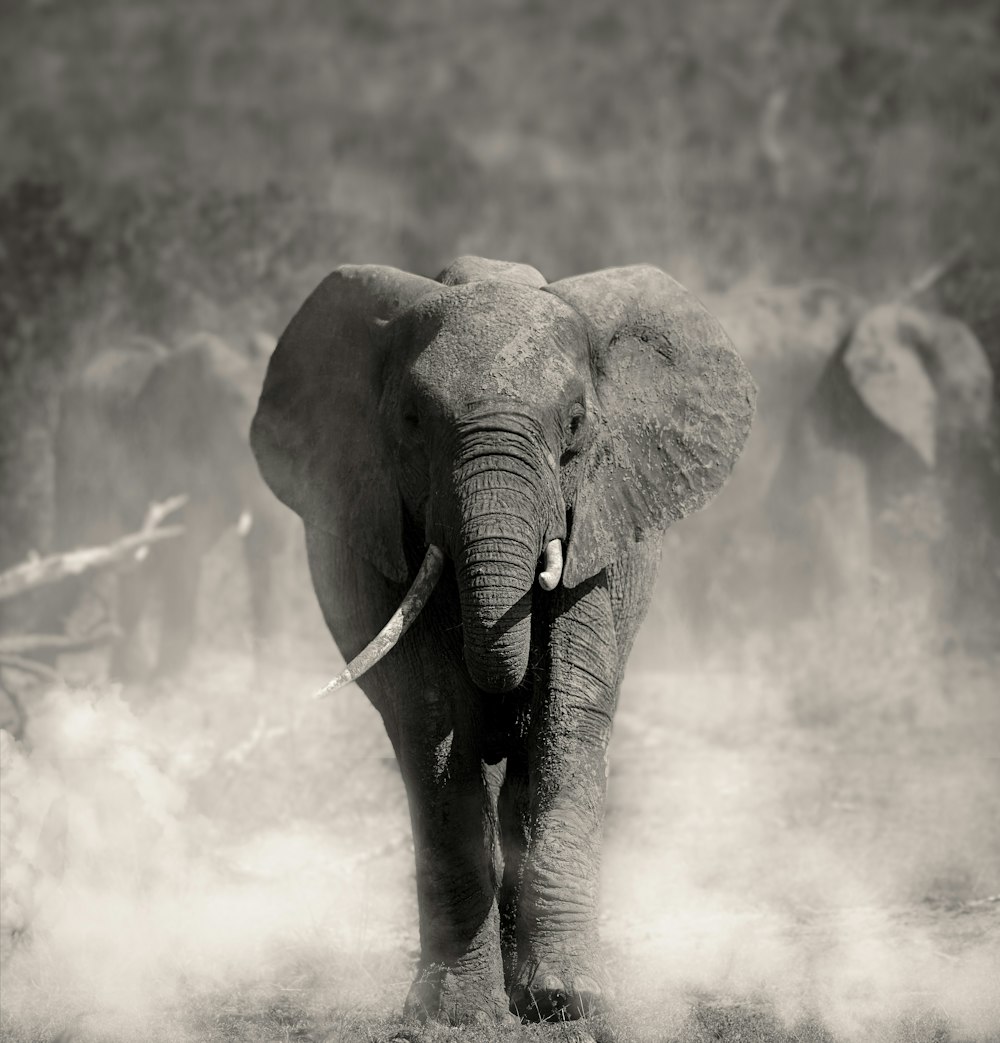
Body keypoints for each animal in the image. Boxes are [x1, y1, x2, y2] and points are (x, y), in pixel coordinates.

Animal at [50, 329, 289, 680]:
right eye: (235, 445)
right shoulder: (174, 458)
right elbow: (183, 553)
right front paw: (168, 687)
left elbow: (258, 560)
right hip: (76, 458)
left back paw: (124, 679)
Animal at [248, 254, 750, 1026]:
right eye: (412, 423)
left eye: (575, 425)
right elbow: (429, 721)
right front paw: (455, 1013)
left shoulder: (597, 516)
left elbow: (567, 712)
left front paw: (568, 1000)